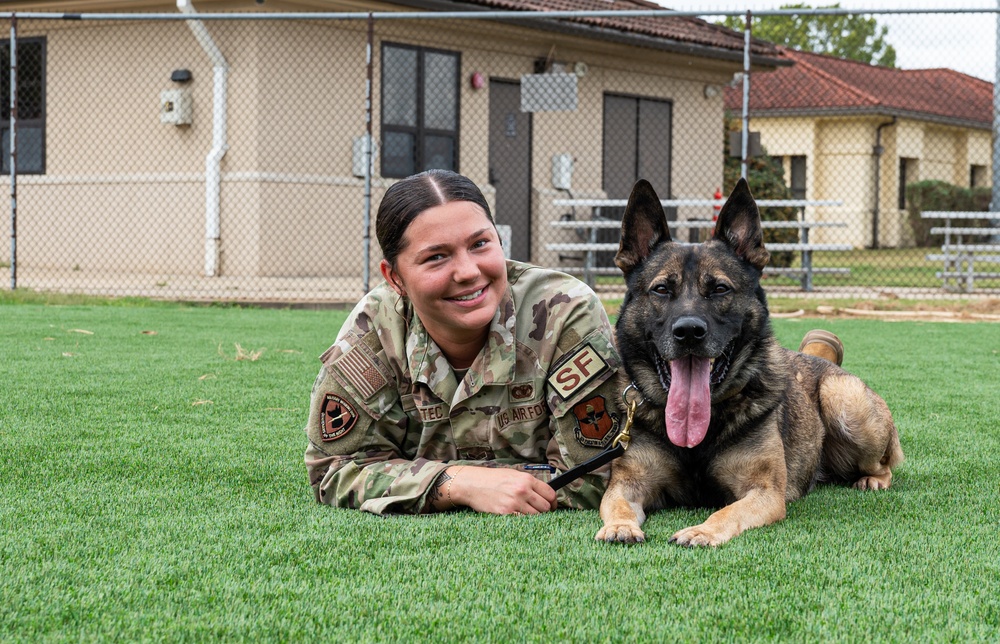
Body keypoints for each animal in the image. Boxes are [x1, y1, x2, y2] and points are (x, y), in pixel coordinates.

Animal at [596, 179, 904, 544]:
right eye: (660, 290)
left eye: (719, 289)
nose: (689, 332)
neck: (700, 436)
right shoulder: (627, 483)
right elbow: (617, 504)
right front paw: (620, 526)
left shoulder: (764, 492)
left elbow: (727, 512)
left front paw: (702, 531)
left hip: (845, 401)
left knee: (884, 466)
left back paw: (873, 479)